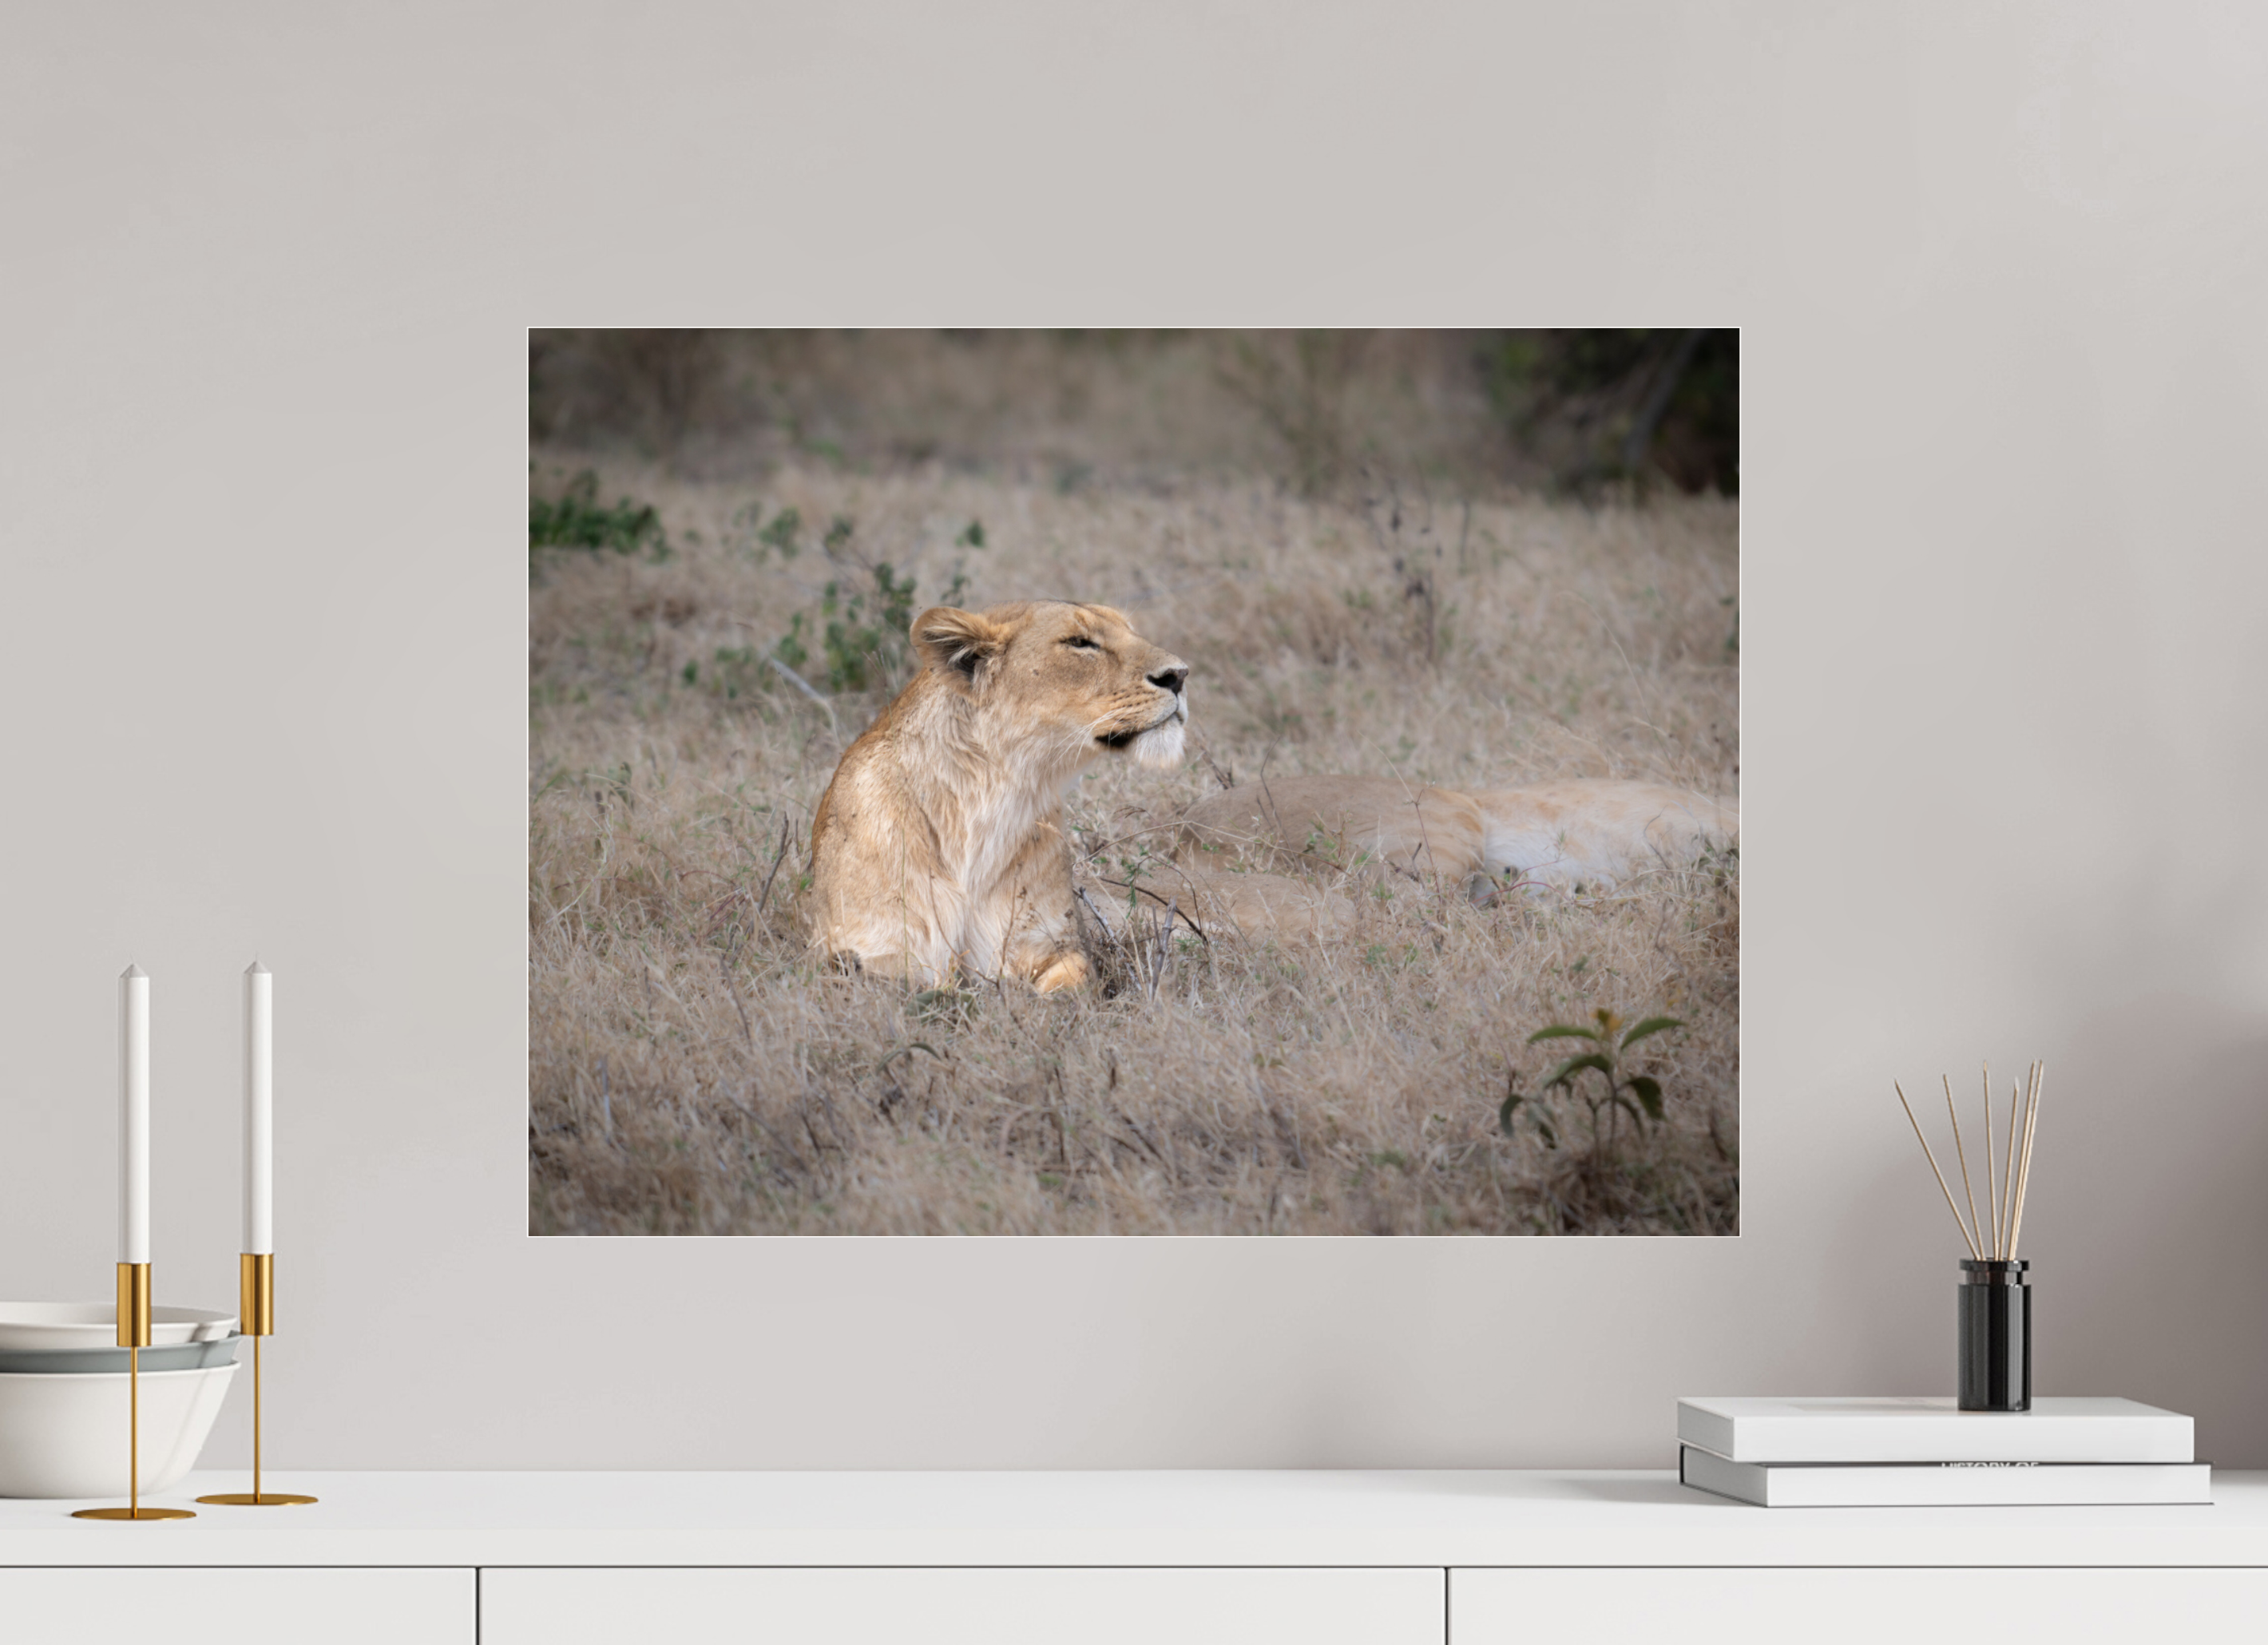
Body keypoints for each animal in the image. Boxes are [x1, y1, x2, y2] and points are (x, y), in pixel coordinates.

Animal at [806, 600, 1189, 992]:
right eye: (1080, 643)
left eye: (1130, 631)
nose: (1179, 675)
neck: (993, 802)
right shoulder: (868, 952)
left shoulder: (1053, 945)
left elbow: (1071, 984)